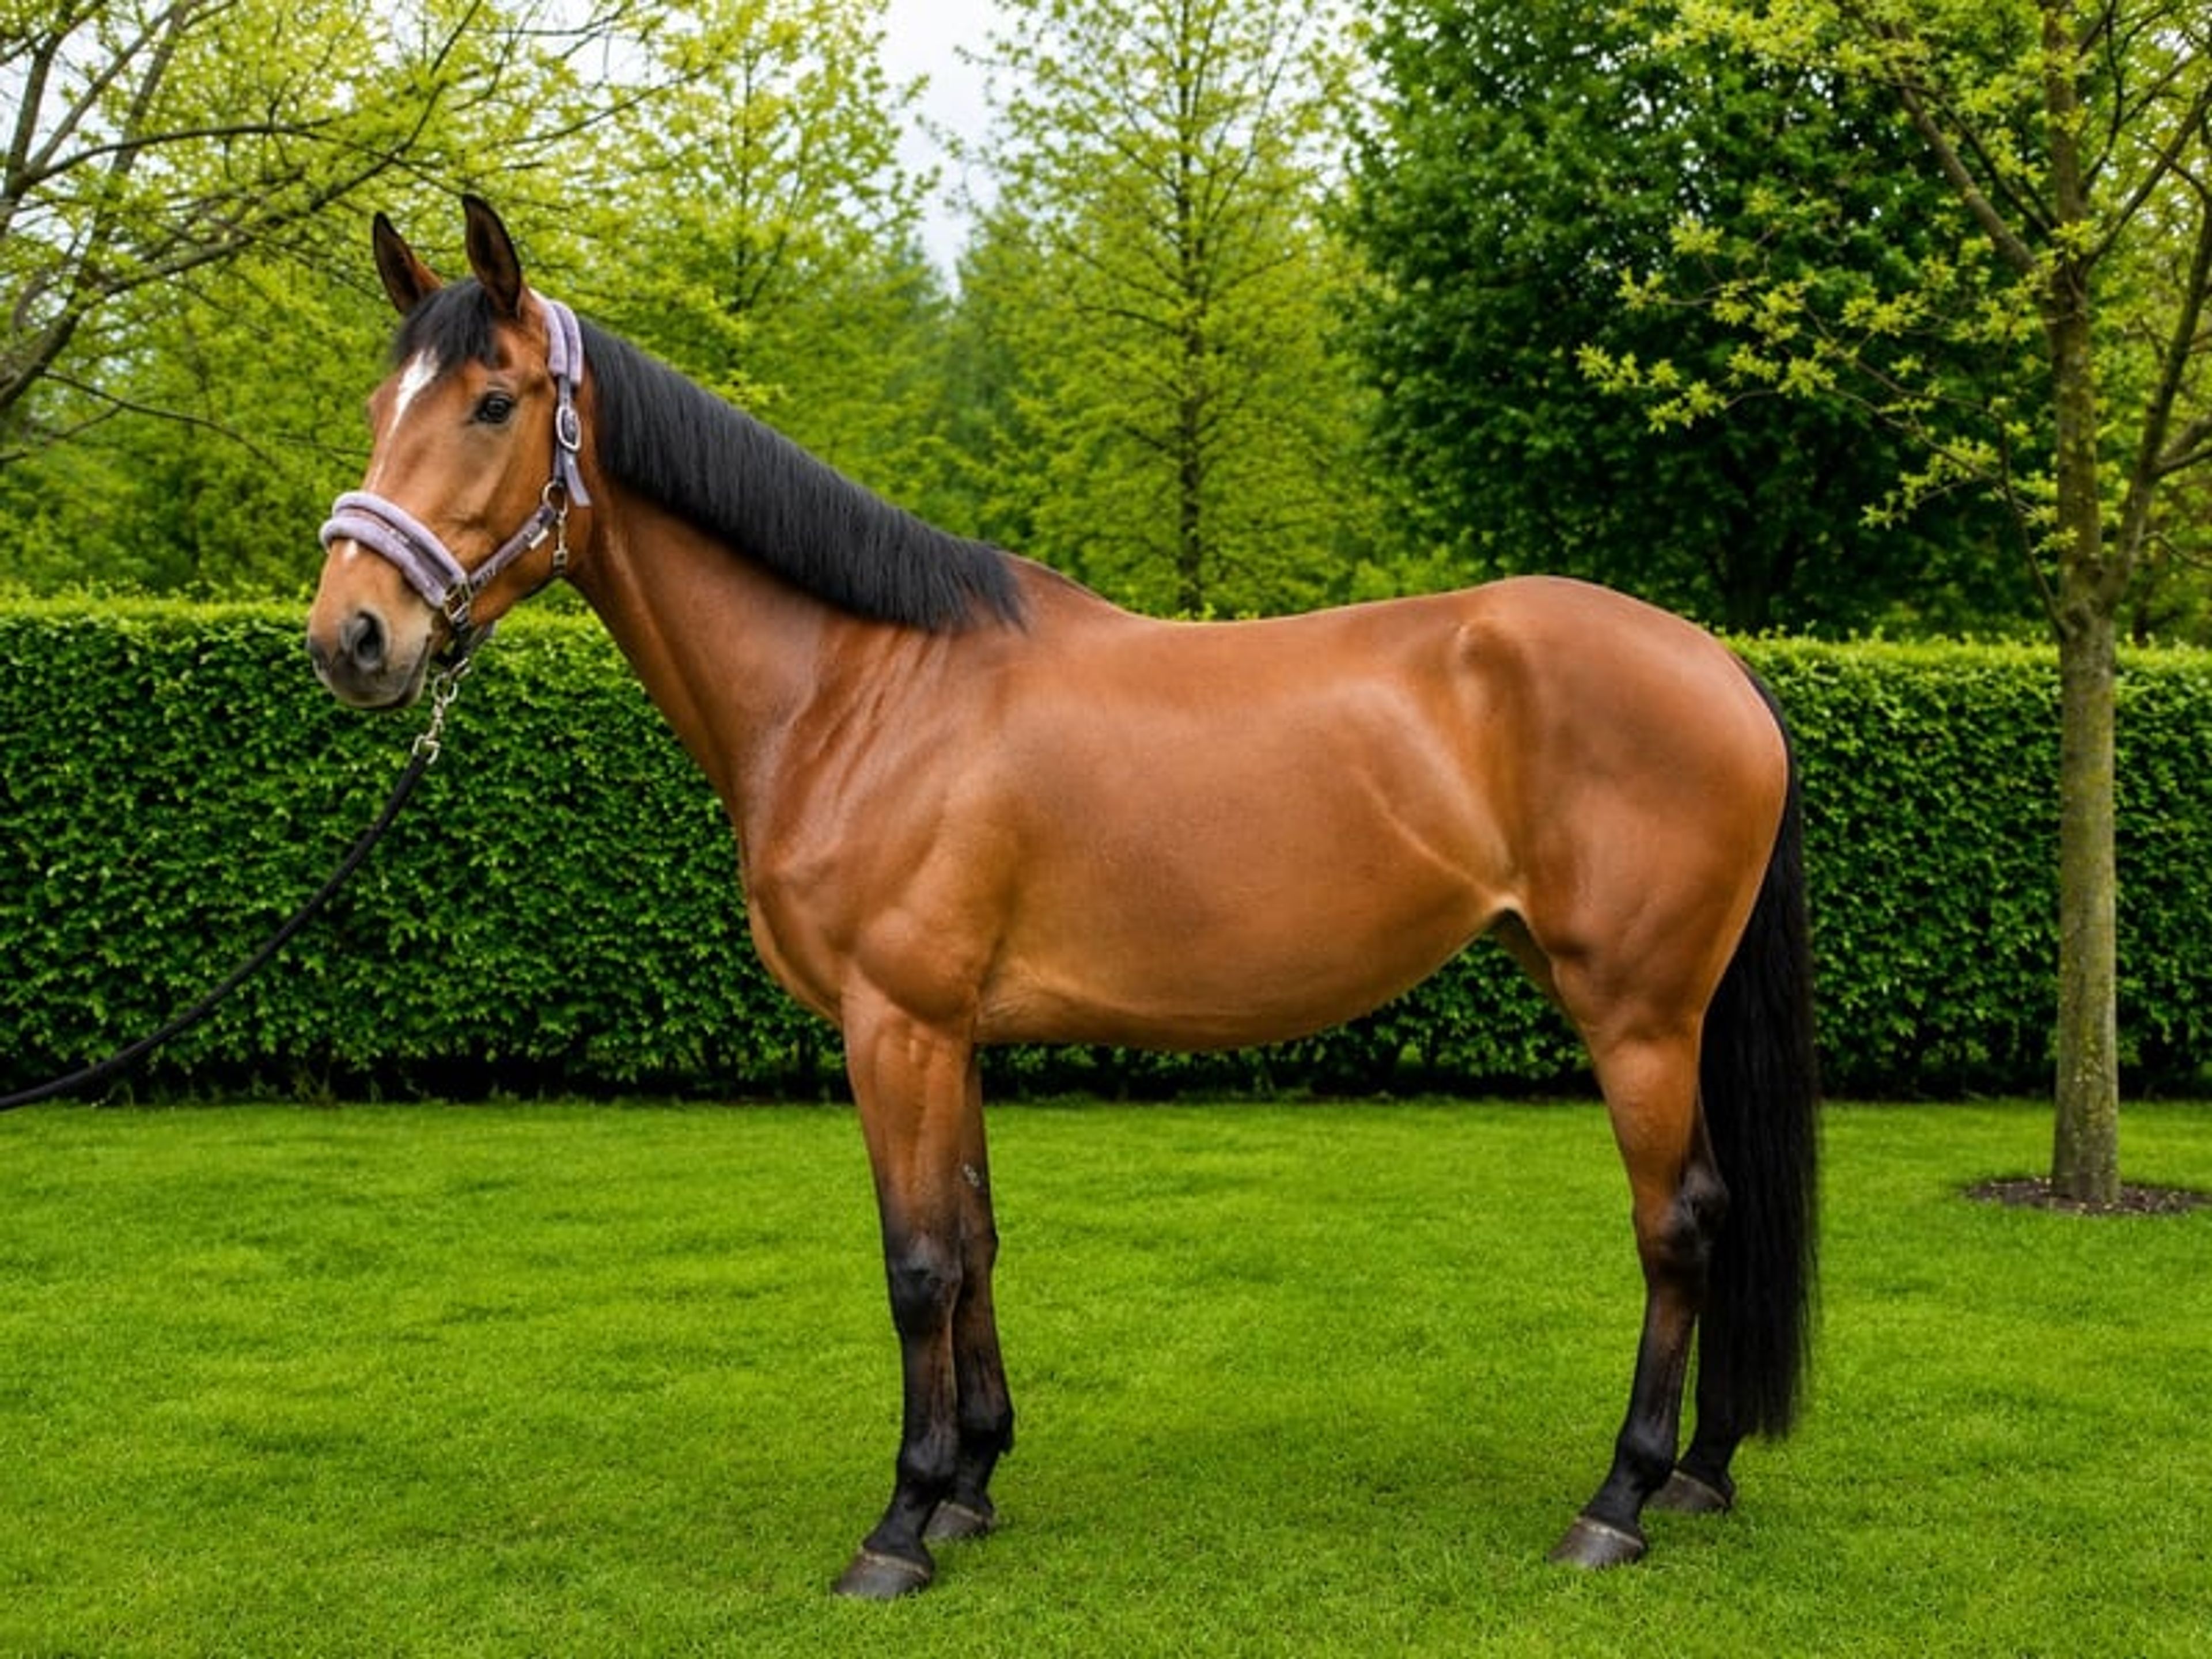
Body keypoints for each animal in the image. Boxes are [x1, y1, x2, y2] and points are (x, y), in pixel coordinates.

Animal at [306, 198, 1818, 1598]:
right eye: (381, 406)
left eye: (494, 401)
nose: (353, 636)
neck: (863, 686)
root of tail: (1720, 665)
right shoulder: (951, 1032)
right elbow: (974, 1239)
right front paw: (971, 1483)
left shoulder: (895, 1023)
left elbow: (917, 1261)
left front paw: (899, 1527)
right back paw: (1699, 1472)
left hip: (1637, 1015)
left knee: (1680, 1220)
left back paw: (1618, 1499)